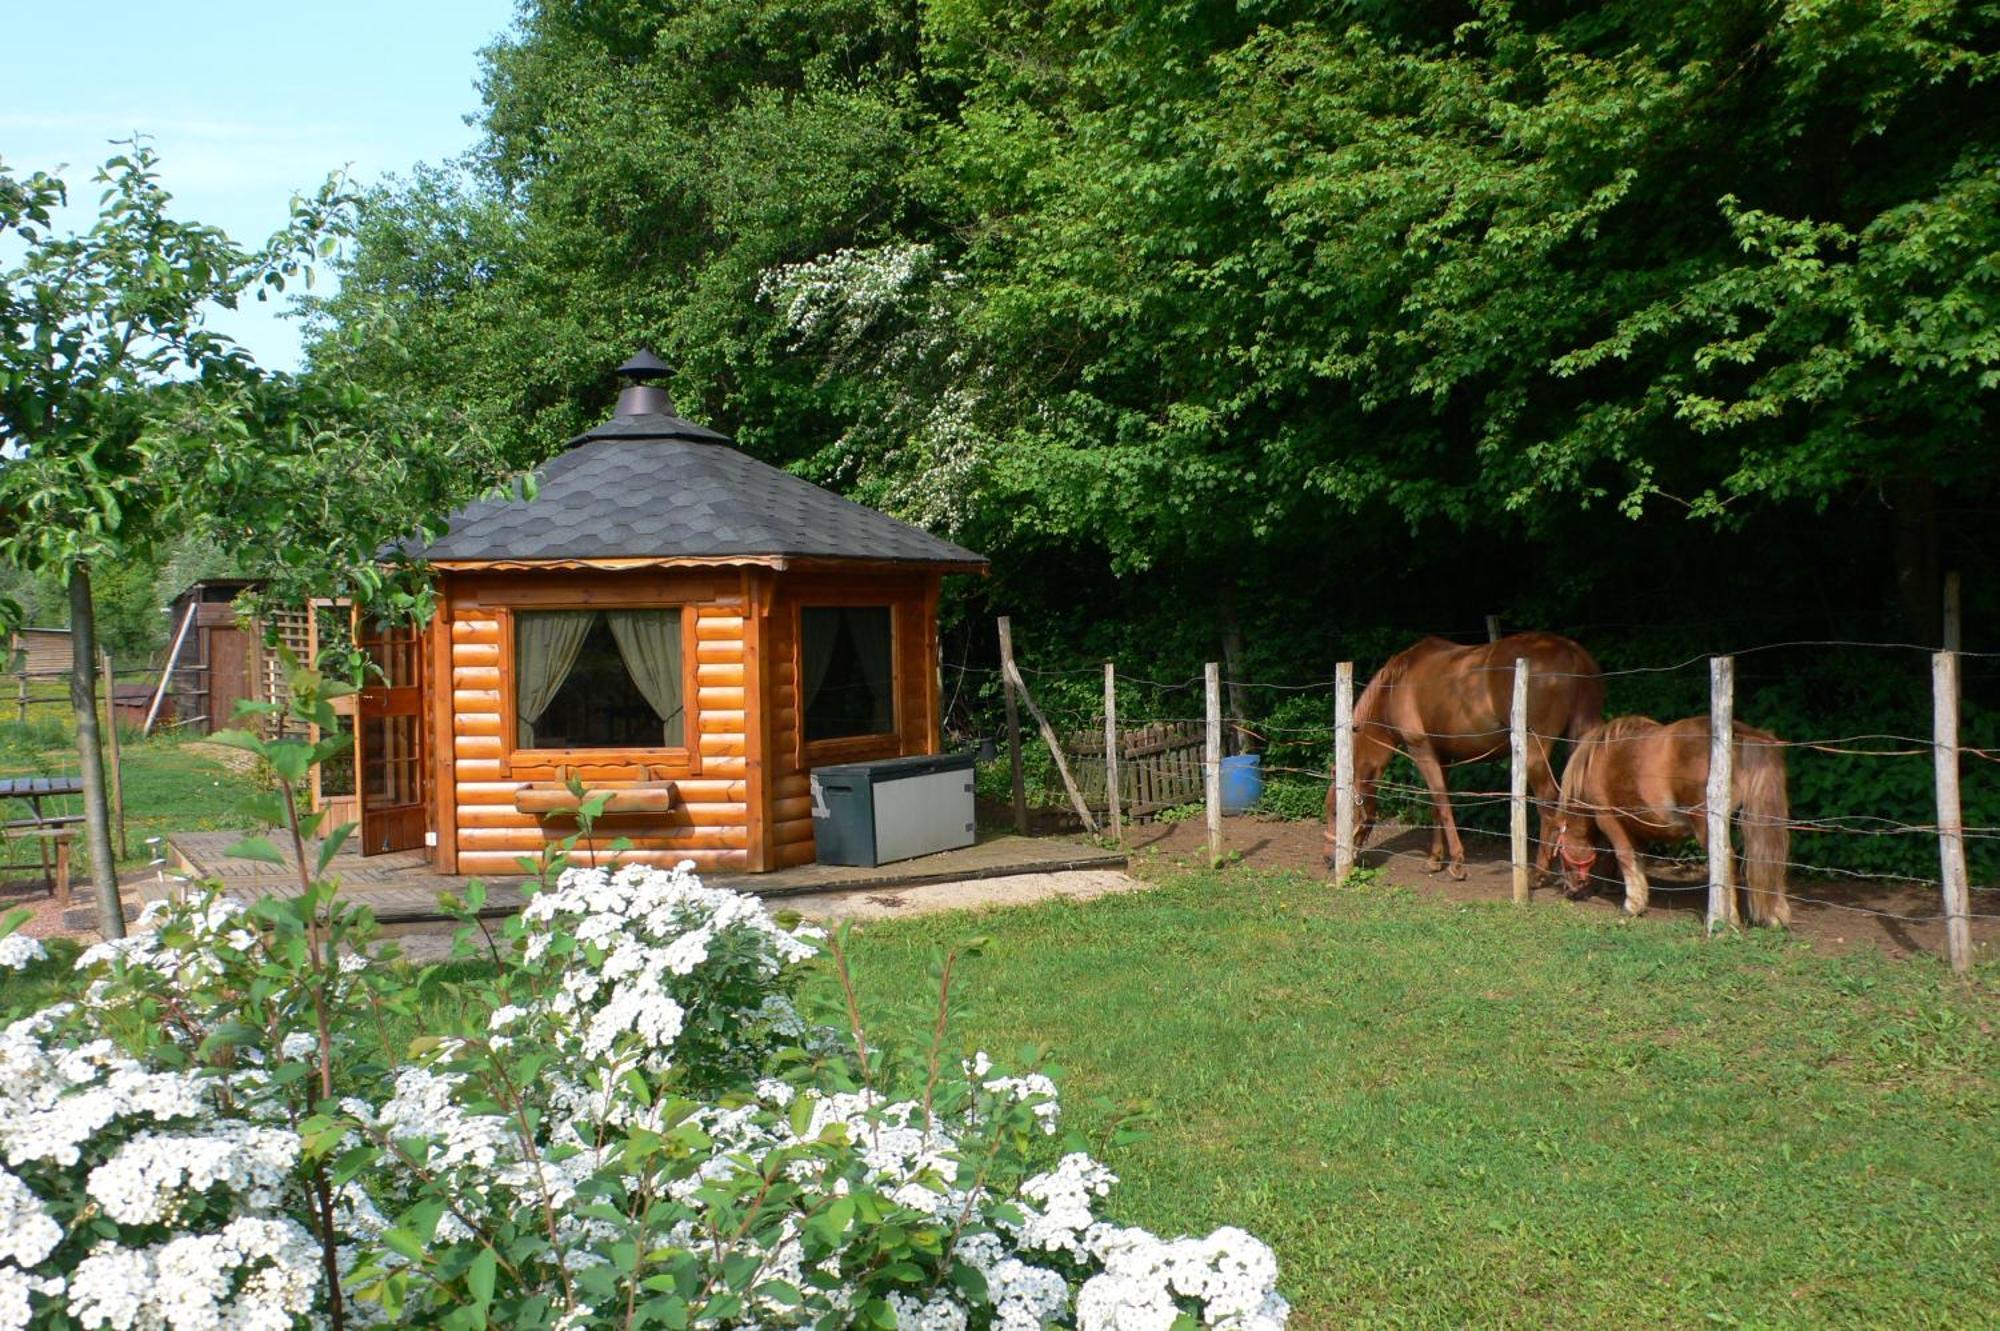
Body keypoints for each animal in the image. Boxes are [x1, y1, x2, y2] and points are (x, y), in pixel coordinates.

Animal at [1328, 631, 1608, 879]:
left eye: (1335, 812)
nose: (1328, 858)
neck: (1397, 684)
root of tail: (1571, 651)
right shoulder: (1442, 756)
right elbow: (1437, 805)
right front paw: (1435, 859)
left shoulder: (1421, 749)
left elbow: (1441, 801)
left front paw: (1457, 863)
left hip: (1535, 754)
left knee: (1548, 803)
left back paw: (1539, 873)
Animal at [1544, 715, 1800, 923]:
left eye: (1560, 850)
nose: (1569, 889)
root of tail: (1736, 732)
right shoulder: (1638, 827)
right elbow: (1636, 859)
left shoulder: (1610, 820)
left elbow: (1625, 857)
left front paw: (1632, 905)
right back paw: (1776, 915)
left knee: (1726, 861)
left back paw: (1728, 919)